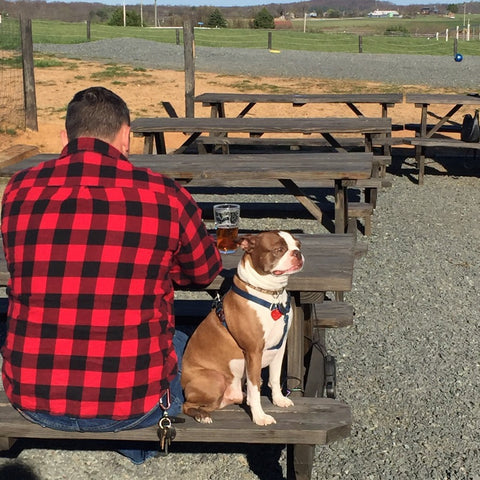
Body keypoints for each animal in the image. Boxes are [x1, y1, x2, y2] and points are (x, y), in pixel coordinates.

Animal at [181, 231, 304, 426]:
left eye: (298, 245)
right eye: (279, 250)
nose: (297, 253)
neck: (271, 295)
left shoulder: (280, 346)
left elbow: (275, 378)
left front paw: (278, 400)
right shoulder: (254, 351)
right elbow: (255, 389)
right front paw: (260, 417)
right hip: (215, 379)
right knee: (186, 405)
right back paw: (202, 415)